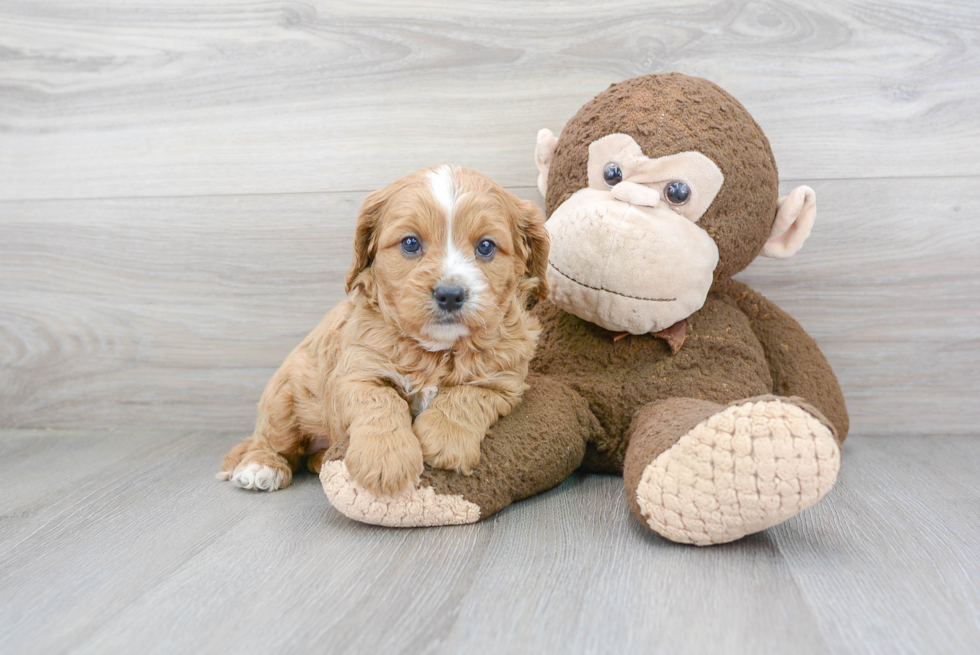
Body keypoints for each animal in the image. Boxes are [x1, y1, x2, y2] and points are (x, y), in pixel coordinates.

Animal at [216, 165, 552, 498]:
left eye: (485, 246)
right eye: (410, 243)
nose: (450, 295)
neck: (435, 350)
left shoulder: (504, 381)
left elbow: (467, 395)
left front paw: (444, 438)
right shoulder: (357, 372)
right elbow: (381, 402)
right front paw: (386, 460)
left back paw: (320, 459)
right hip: (282, 398)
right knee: (269, 441)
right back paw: (260, 467)